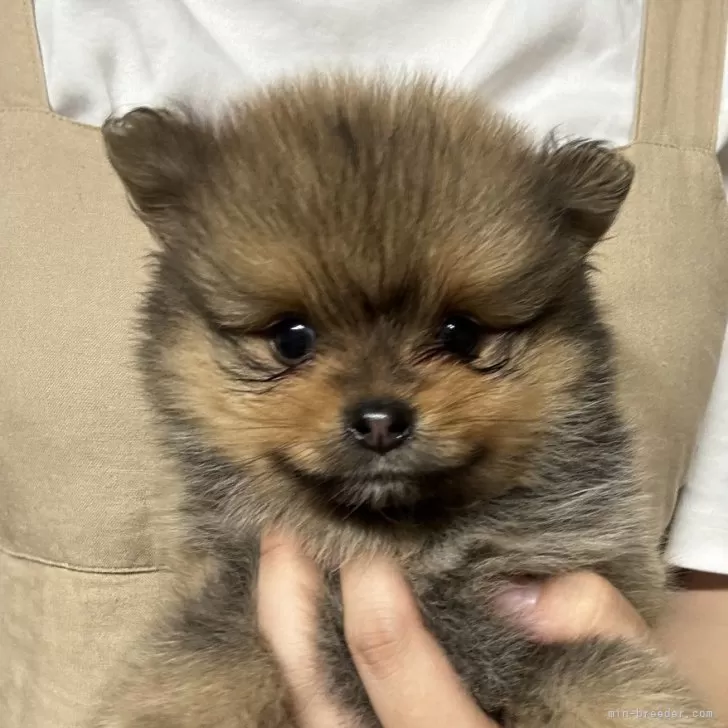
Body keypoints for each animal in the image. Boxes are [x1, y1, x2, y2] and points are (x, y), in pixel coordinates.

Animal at [95, 75, 709, 727]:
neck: (402, 545)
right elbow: (207, 662)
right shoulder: (231, 589)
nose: (380, 420)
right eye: (291, 338)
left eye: (461, 334)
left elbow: (600, 678)